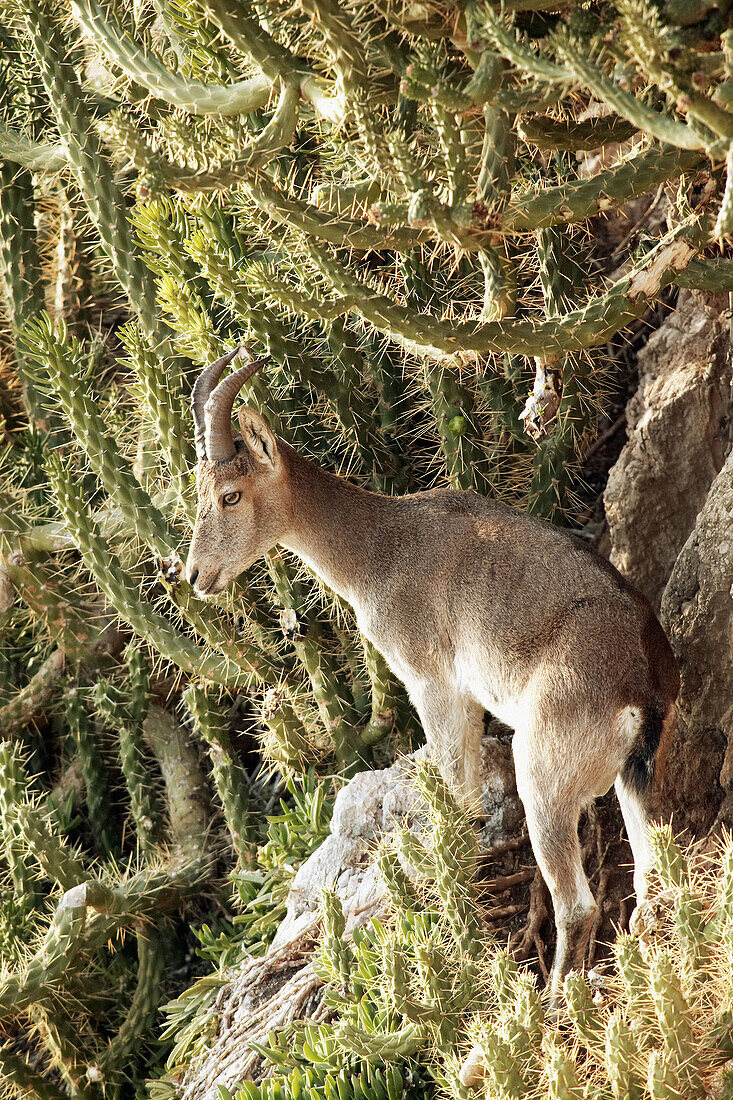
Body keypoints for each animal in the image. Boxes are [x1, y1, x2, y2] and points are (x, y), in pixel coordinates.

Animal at [186, 345, 677, 1007]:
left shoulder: (432, 685)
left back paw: (551, 1003)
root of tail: (642, 684)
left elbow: (457, 794)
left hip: (543, 775)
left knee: (577, 905)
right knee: (651, 886)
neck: (381, 546)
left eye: (230, 495)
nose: (194, 575)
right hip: (633, 780)